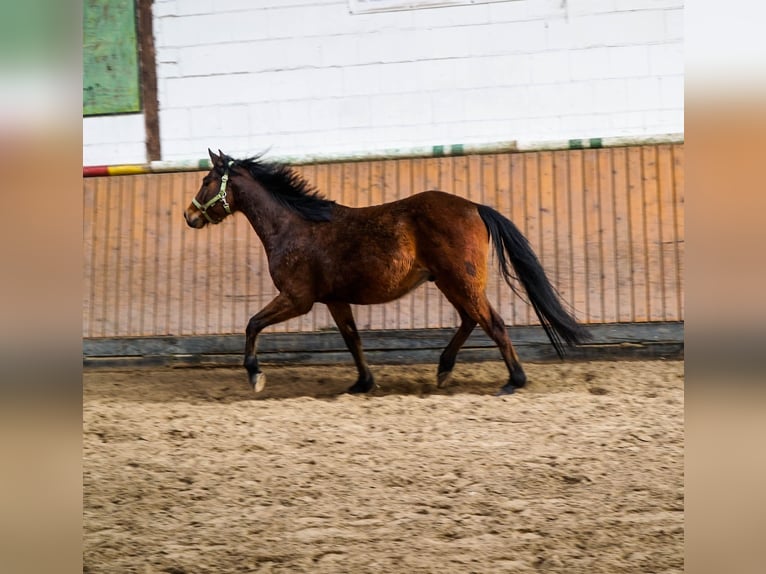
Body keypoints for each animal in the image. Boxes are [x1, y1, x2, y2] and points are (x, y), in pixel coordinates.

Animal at [183, 151, 592, 398]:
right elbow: (353, 340)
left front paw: (255, 375)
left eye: (206, 180)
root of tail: (474, 206)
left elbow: (252, 323)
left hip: (460, 281)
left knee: (492, 323)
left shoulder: (298, 299)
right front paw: (363, 383)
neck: (294, 226)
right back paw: (443, 370)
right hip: (451, 283)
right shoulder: (335, 300)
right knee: (470, 320)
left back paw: (512, 381)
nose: (189, 215)